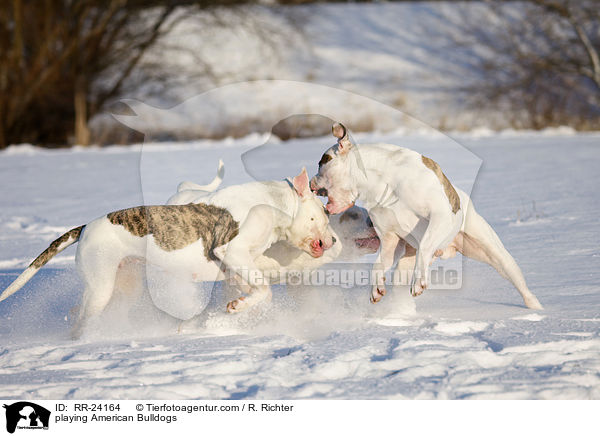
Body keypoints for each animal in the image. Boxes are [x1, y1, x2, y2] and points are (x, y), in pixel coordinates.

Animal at [0, 168, 336, 338]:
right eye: (322, 212)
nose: (334, 239)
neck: (275, 202)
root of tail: (84, 228)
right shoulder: (232, 249)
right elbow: (263, 291)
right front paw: (237, 307)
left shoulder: (239, 263)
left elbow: (256, 285)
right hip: (101, 287)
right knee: (83, 319)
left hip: (123, 284)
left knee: (80, 309)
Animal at [310, 122, 544, 310]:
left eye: (322, 162)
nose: (311, 183)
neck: (380, 181)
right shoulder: (389, 239)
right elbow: (379, 264)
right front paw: (376, 288)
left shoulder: (439, 216)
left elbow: (424, 244)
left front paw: (418, 283)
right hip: (405, 263)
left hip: (496, 254)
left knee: (516, 279)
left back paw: (536, 309)